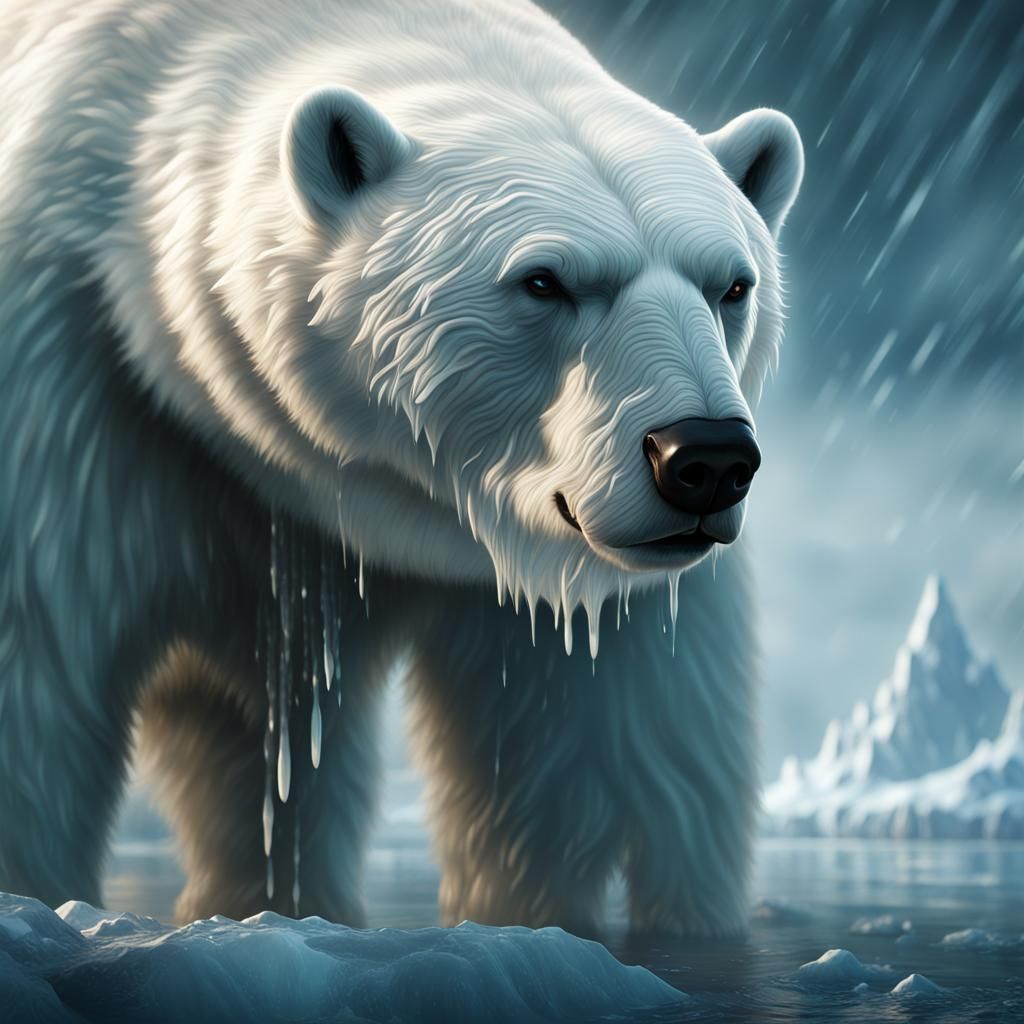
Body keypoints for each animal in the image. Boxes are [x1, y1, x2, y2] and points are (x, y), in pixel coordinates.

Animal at [0, 0, 802, 936]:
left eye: (733, 284)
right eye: (544, 280)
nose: (704, 459)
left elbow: (593, 722)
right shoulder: (71, 391)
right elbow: (37, 662)